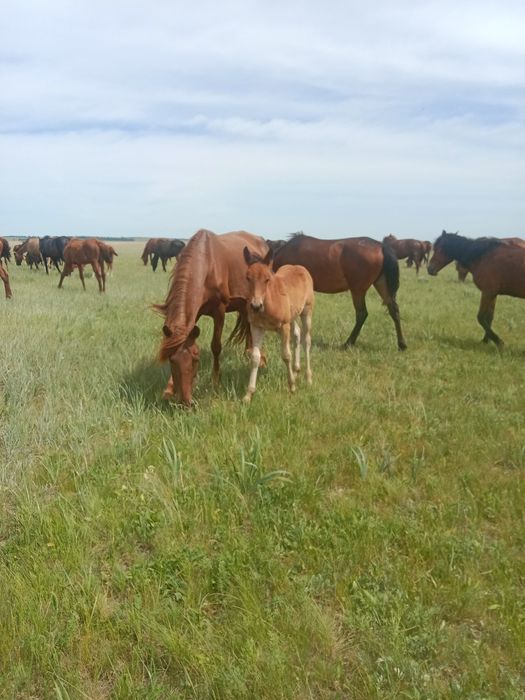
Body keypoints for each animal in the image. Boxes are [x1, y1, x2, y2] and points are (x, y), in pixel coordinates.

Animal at [155, 229, 269, 406]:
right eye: (172, 361)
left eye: (196, 359)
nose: (186, 402)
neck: (207, 264)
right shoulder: (194, 315)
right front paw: (169, 388)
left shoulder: (219, 311)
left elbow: (216, 346)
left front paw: (215, 379)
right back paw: (249, 352)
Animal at [243, 247, 314, 402]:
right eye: (247, 277)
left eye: (267, 279)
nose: (255, 306)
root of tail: (300, 267)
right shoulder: (256, 327)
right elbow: (255, 357)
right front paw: (248, 394)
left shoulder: (284, 326)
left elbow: (286, 355)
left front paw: (292, 386)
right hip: (292, 316)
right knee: (297, 334)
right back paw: (296, 370)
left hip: (306, 311)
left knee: (306, 339)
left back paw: (308, 378)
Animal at [273, 233, 407, 350]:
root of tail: (381, 246)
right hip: (381, 284)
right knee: (394, 310)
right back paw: (402, 345)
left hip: (358, 290)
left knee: (362, 314)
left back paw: (348, 343)